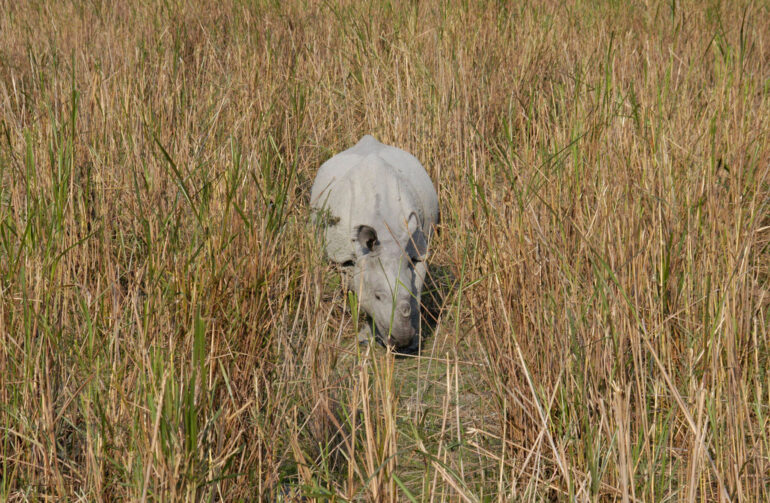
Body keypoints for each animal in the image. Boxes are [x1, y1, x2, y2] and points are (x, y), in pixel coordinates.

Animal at [311, 135, 439, 350]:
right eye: (378, 296)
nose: (401, 340)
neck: (387, 235)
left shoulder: (418, 251)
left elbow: (417, 291)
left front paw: (413, 343)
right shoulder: (346, 257)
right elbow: (359, 291)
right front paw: (367, 338)